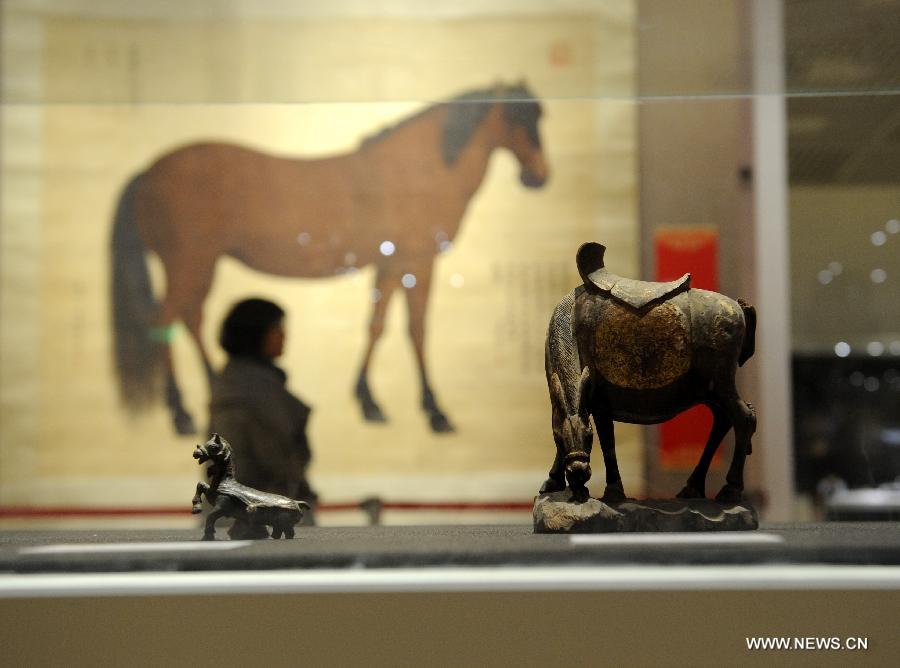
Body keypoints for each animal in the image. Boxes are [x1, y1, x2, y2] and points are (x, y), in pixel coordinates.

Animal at [112, 82, 548, 434]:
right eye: (517, 117)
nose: (540, 177)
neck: (417, 173)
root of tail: (148, 172)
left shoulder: (390, 265)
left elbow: (377, 326)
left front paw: (369, 402)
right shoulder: (418, 263)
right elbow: (417, 329)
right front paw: (435, 412)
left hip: (197, 266)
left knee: (191, 318)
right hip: (189, 264)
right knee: (165, 322)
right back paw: (181, 414)